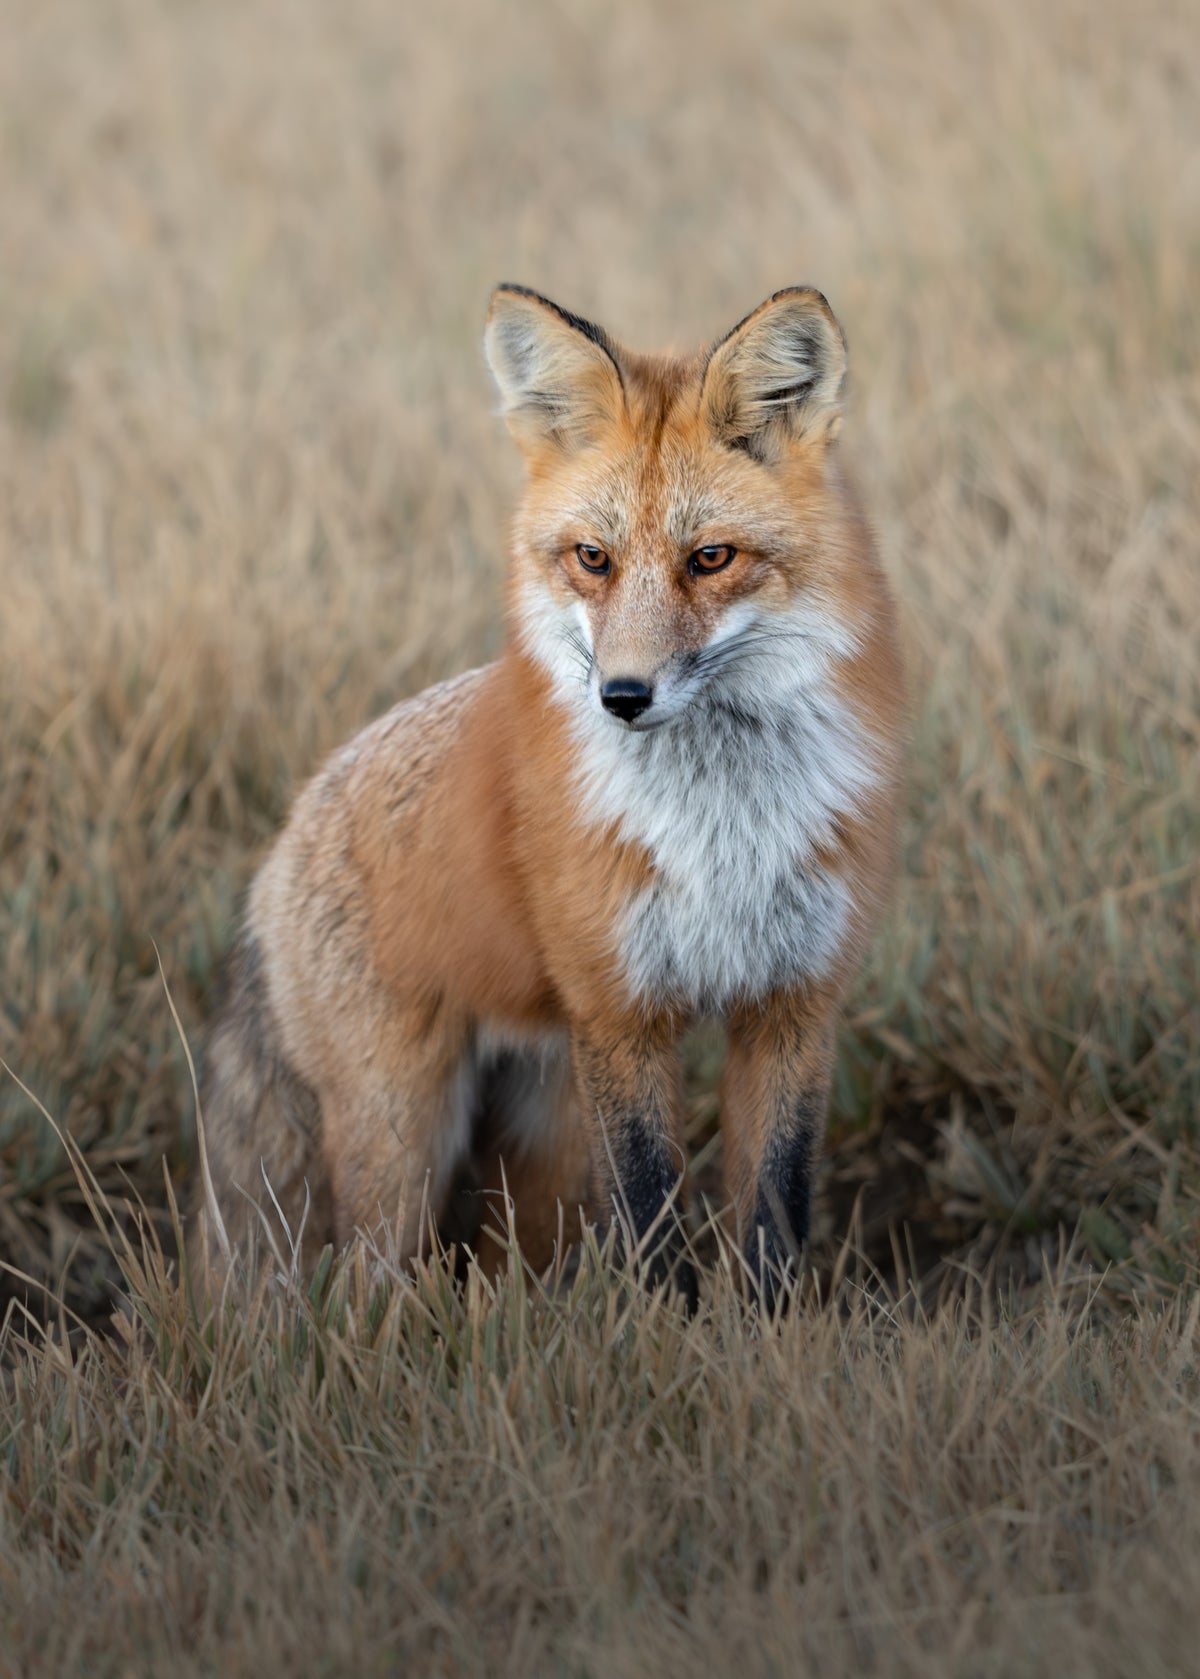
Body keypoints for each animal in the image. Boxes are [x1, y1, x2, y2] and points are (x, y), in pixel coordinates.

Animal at [191, 284, 905, 1309]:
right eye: (593, 558)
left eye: (712, 558)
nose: (623, 695)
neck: (721, 833)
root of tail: (285, 836)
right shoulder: (619, 1013)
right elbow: (649, 1218)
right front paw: (668, 1332)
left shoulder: (794, 1004)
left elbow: (773, 1216)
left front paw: (764, 1337)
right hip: (407, 1133)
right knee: (365, 1276)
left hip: (543, 1132)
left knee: (503, 1257)